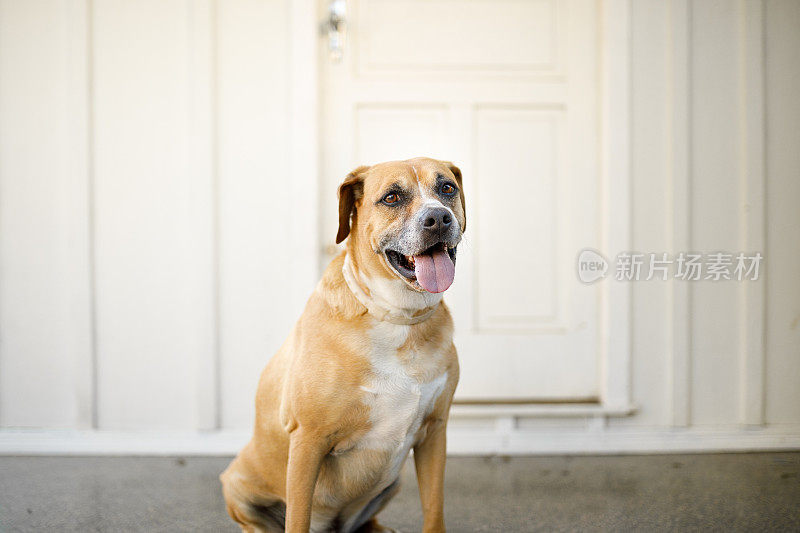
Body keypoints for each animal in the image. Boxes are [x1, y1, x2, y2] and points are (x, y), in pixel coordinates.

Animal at [222, 158, 466, 532]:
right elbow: (297, 517)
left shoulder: (435, 433)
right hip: (235, 482)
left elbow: (434, 510)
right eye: (392, 197)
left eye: (447, 188)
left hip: (393, 482)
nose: (438, 218)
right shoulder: (308, 441)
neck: (396, 317)